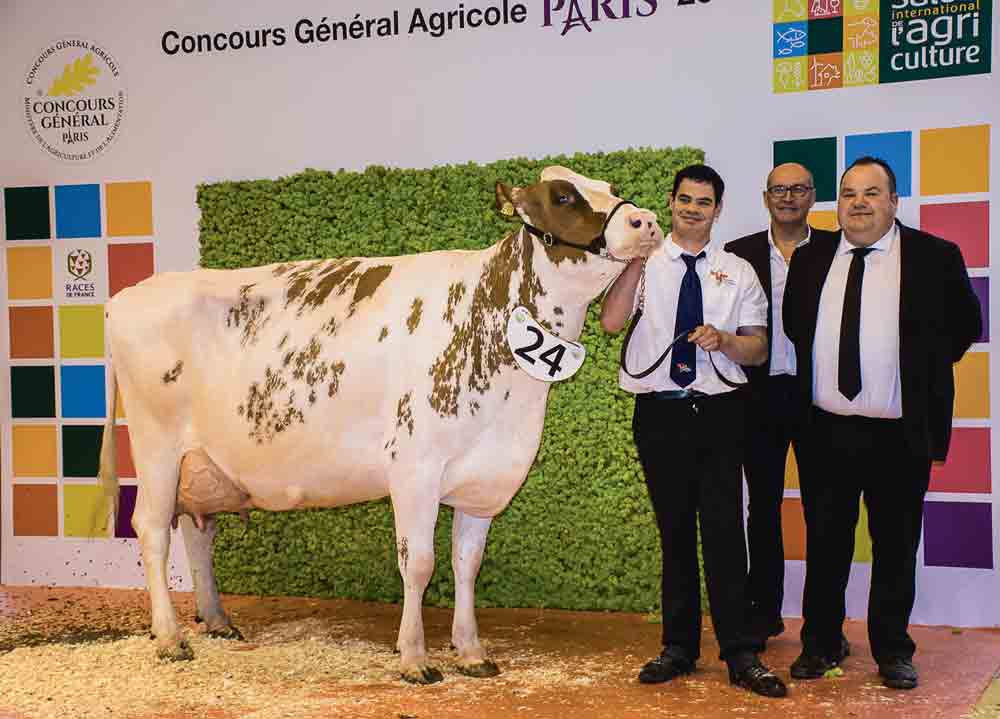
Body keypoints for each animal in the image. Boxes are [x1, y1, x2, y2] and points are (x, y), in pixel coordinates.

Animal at [99, 166, 664, 684]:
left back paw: (216, 621)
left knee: (198, 530)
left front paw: (471, 652)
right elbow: (419, 564)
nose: (647, 221)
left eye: (611, 189)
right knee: (152, 529)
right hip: (156, 448)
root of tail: (127, 296)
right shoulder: (414, 468)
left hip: (202, 463)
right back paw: (170, 639)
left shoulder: (485, 478)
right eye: (563, 196)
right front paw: (415, 658)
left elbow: (467, 564)